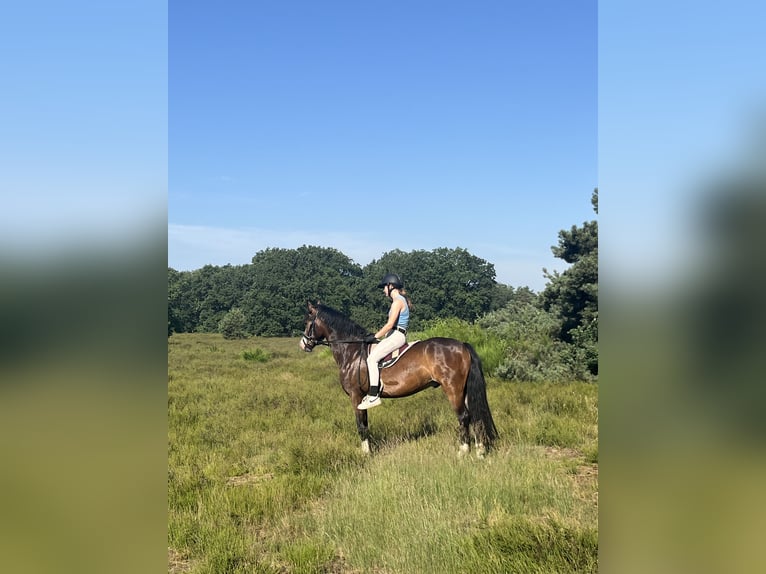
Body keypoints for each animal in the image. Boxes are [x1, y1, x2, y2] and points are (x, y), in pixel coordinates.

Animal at [299, 301, 498, 456]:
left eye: (307, 322)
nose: (303, 344)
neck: (352, 351)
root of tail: (462, 345)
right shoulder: (362, 398)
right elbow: (365, 423)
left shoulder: (356, 396)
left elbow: (361, 425)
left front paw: (366, 454)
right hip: (464, 390)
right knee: (474, 416)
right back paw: (480, 450)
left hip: (453, 389)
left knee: (464, 416)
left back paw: (462, 452)